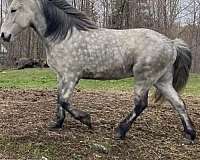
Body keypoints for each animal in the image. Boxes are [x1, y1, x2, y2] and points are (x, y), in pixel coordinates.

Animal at [0, 0, 195, 141]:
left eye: (13, 10)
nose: (4, 35)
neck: (64, 36)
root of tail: (172, 43)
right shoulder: (61, 76)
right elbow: (58, 99)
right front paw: (57, 123)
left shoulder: (72, 76)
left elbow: (63, 100)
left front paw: (86, 120)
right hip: (162, 81)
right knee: (179, 103)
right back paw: (190, 134)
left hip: (144, 78)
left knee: (141, 105)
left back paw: (120, 131)